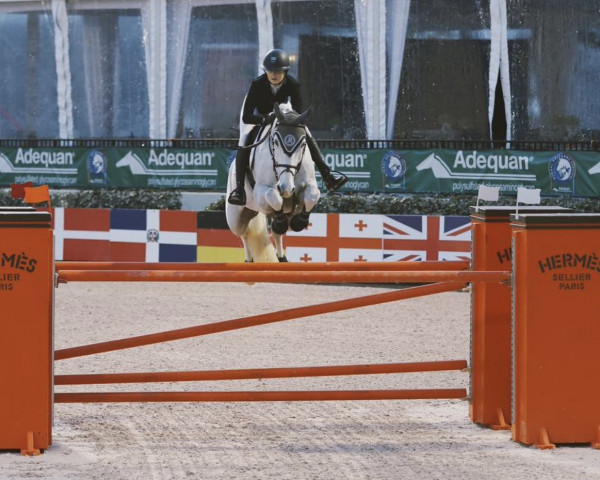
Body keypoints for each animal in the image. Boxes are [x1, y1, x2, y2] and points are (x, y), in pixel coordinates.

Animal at [226, 103, 322, 262]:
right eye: (276, 142)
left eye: (303, 144)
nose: (286, 188)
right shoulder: (261, 192)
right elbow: (274, 197)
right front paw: (281, 219)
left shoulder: (308, 186)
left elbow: (312, 195)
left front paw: (300, 221)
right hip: (236, 218)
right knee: (244, 234)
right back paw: (249, 260)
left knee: (277, 234)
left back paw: (282, 257)